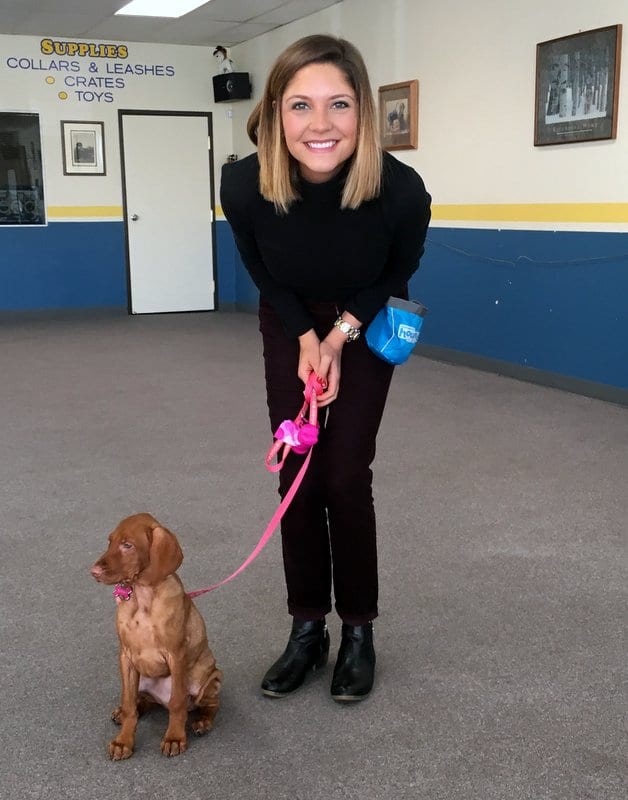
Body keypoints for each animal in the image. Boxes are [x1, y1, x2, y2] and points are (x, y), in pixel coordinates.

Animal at [90, 516, 223, 760]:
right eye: (110, 541)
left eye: (128, 545)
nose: (93, 571)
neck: (143, 598)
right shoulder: (125, 656)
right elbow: (129, 703)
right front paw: (123, 741)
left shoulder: (176, 655)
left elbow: (178, 703)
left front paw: (174, 738)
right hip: (140, 677)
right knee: (139, 700)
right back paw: (123, 712)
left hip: (209, 678)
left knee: (207, 705)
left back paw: (202, 721)